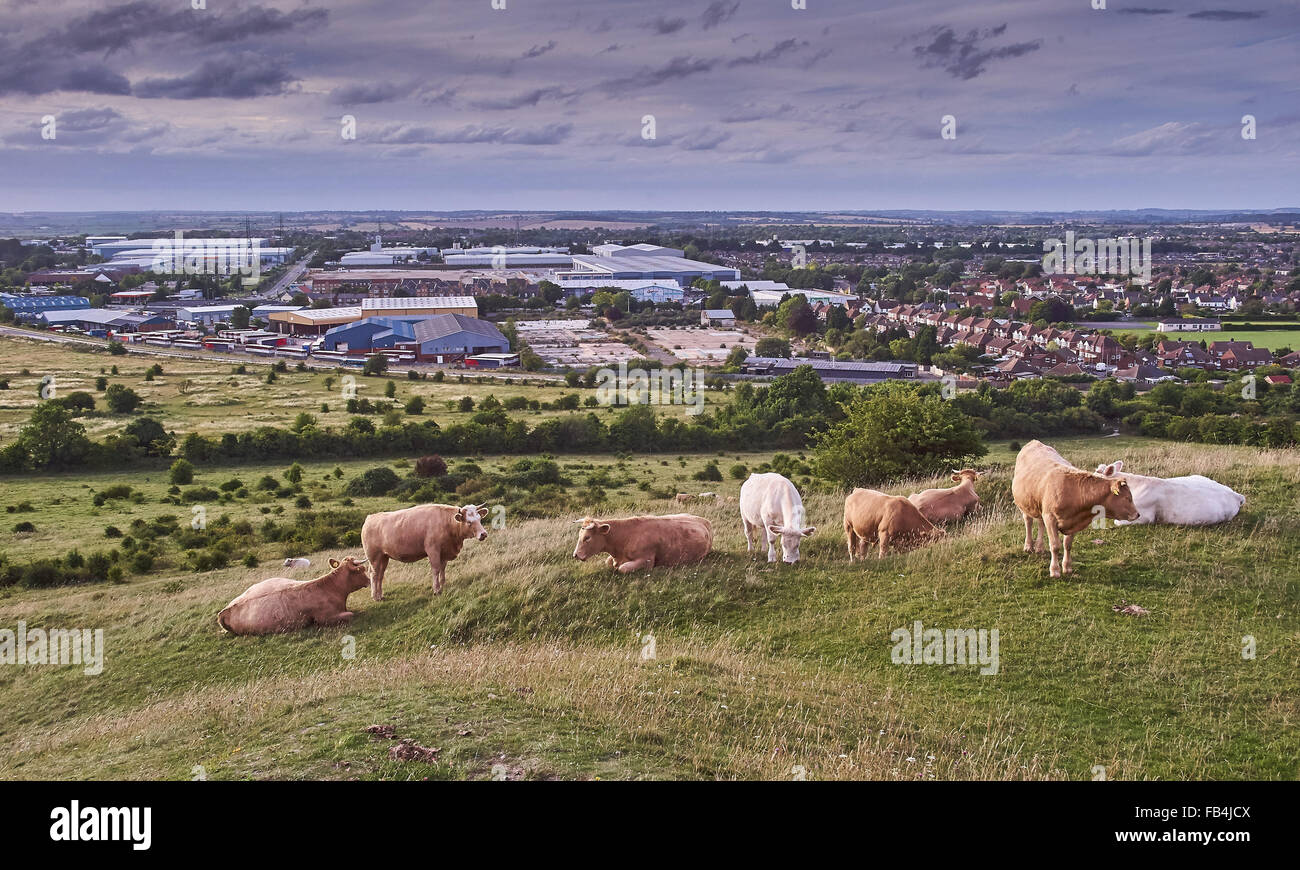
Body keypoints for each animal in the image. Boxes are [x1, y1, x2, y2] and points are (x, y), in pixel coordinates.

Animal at [217, 553, 371, 634]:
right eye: (361, 569)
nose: (370, 581)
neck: (330, 589)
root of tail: (224, 611)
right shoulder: (326, 618)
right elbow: (351, 614)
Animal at [569, 512, 712, 572]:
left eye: (587, 537)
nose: (575, 555)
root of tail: (705, 521)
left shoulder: (646, 561)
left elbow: (622, 568)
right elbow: (608, 562)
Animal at [1008, 442, 1144, 577]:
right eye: (1127, 498)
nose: (1137, 514)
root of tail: (1034, 442)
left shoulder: (1073, 519)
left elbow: (1067, 545)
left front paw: (1067, 567)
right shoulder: (1050, 517)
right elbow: (1055, 545)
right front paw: (1055, 570)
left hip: (1039, 505)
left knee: (1040, 523)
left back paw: (1039, 547)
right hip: (1024, 504)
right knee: (1028, 522)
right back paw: (1028, 546)